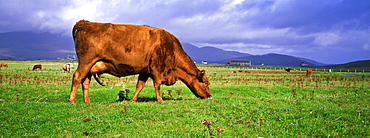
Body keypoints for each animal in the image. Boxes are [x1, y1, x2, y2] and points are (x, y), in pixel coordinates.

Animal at [68, 19, 211, 103]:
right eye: (206, 83)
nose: (209, 96)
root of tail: (84, 22)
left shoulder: (145, 71)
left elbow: (139, 85)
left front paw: (133, 99)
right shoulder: (156, 69)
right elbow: (157, 85)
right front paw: (160, 99)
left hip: (90, 67)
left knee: (85, 82)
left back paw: (87, 101)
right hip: (85, 62)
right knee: (77, 77)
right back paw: (72, 100)